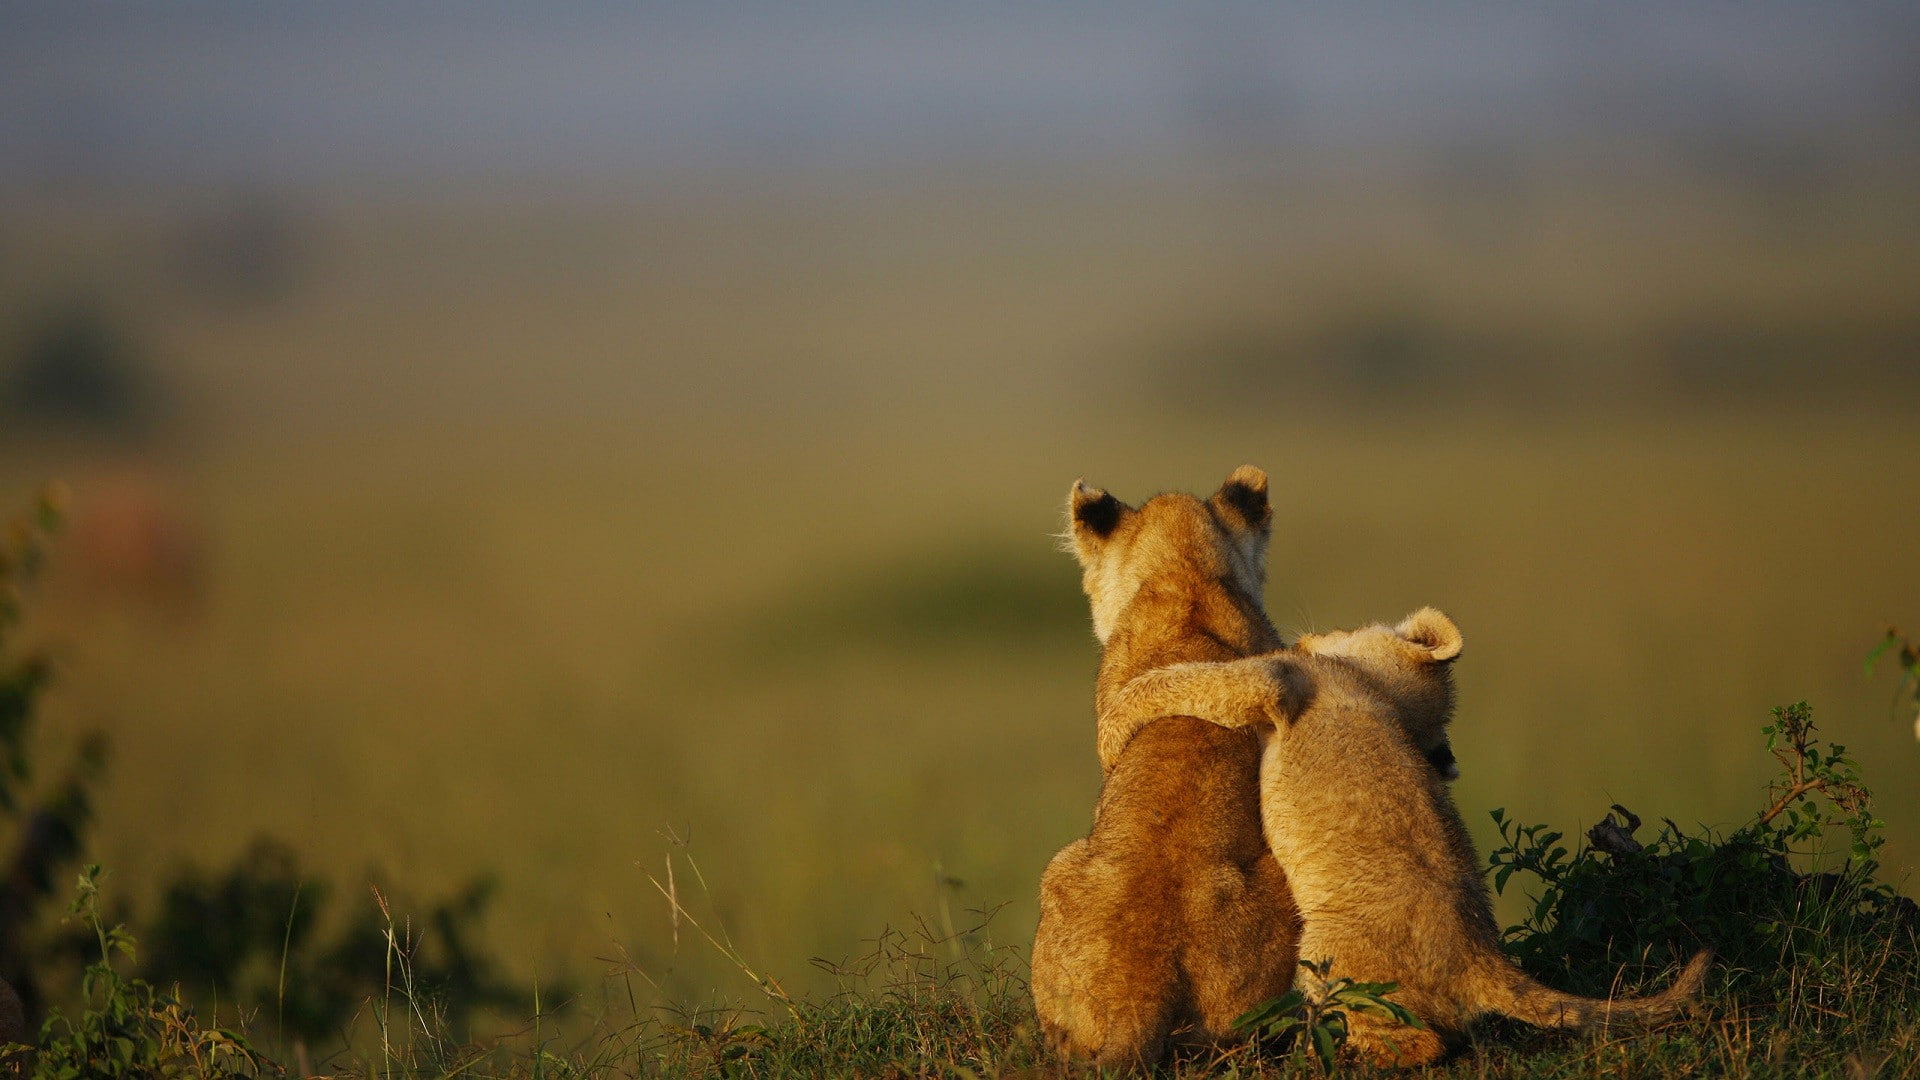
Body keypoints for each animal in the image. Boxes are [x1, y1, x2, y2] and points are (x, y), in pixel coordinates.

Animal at [1099, 610, 1712, 1066]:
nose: (1313, 631)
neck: (1380, 692)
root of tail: (1478, 956)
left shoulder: (1283, 680)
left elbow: (1188, 679)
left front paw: (1116, 719)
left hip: (1326, 948)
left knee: (1419, 1044)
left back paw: (1327, 1054)